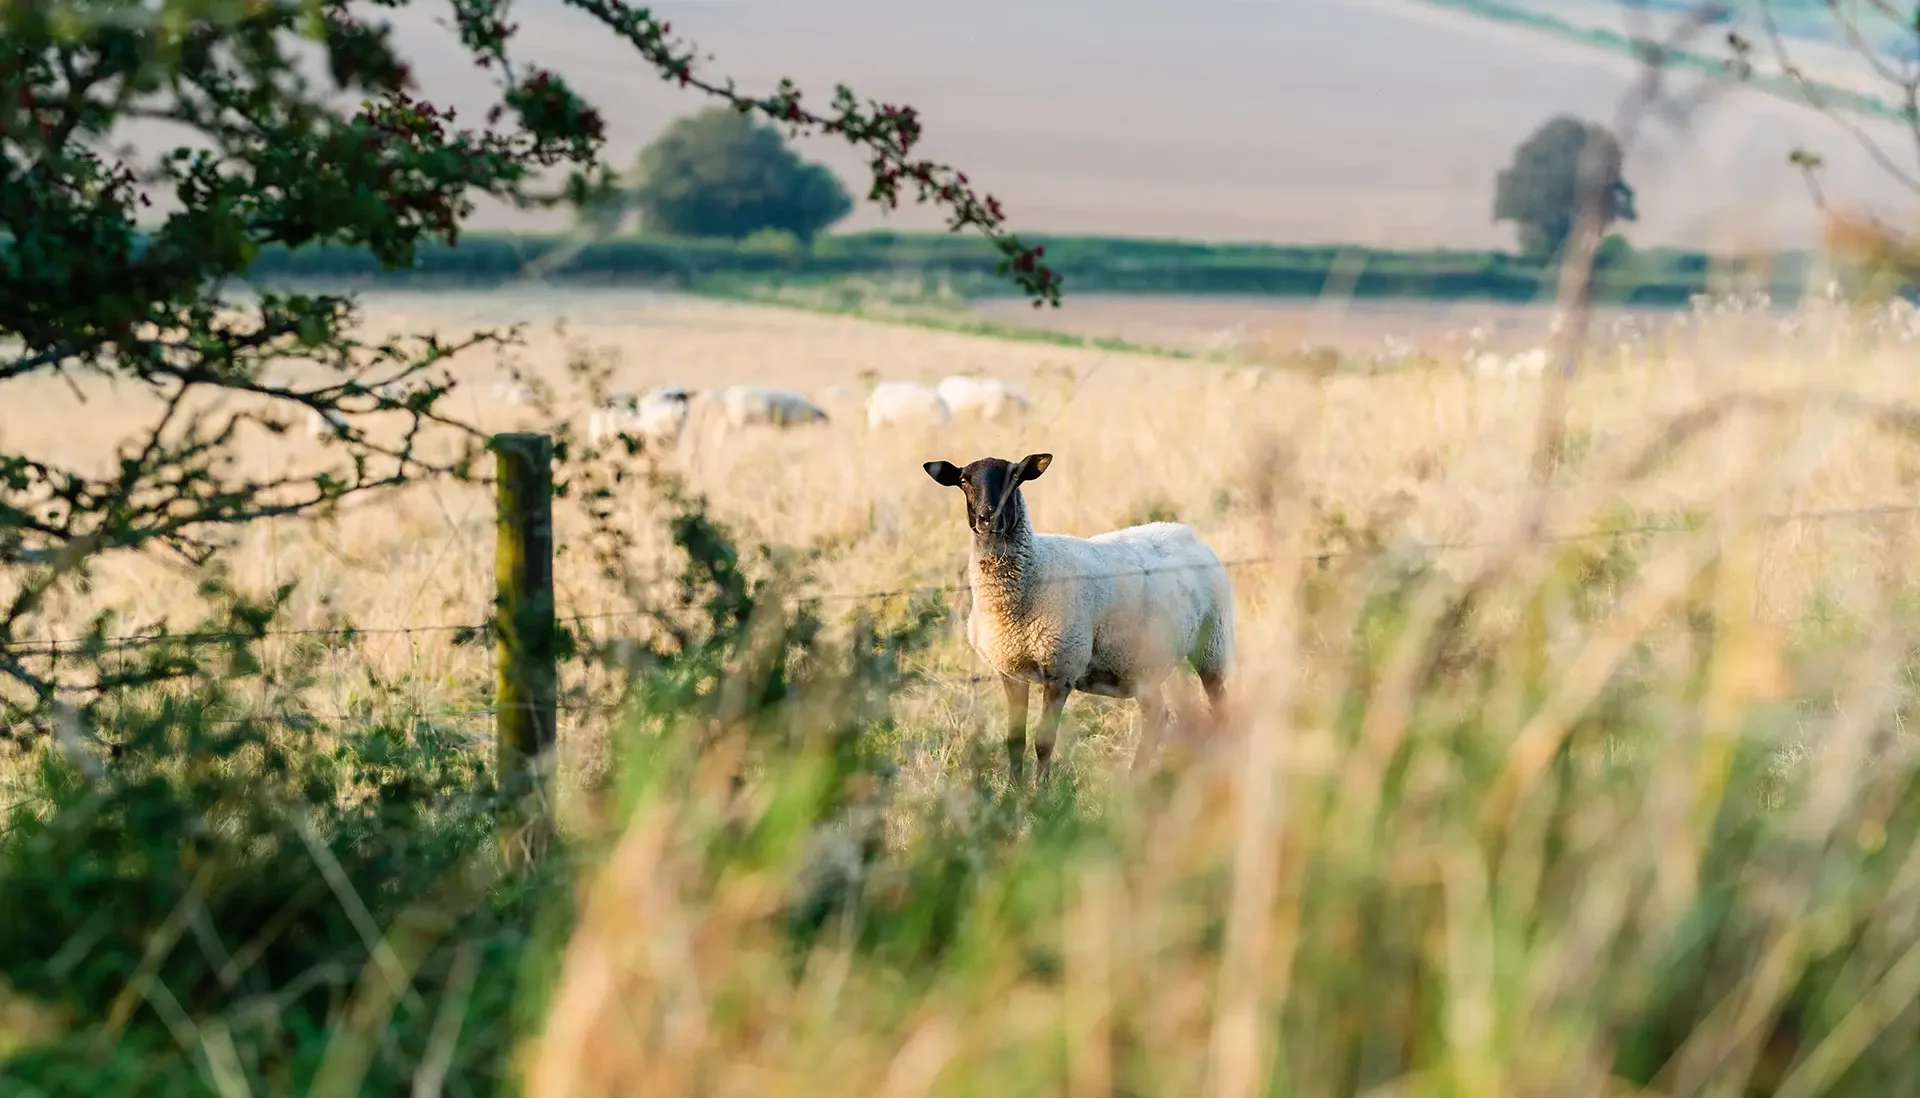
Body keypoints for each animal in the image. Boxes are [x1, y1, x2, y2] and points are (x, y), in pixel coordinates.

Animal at [923, 452, 1235, 779]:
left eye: (1015, 477)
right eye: (963, 481)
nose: (988, 518)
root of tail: (1186, 532)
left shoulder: (1062, 668)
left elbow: (1044, 742)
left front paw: (1040, 790)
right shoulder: (1010, 670)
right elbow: (1015, 740)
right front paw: (1014, 788)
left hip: (1213, 646)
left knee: (1218, 708)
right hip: (1142, 665)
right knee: (1157, 717)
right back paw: (1134, 779)